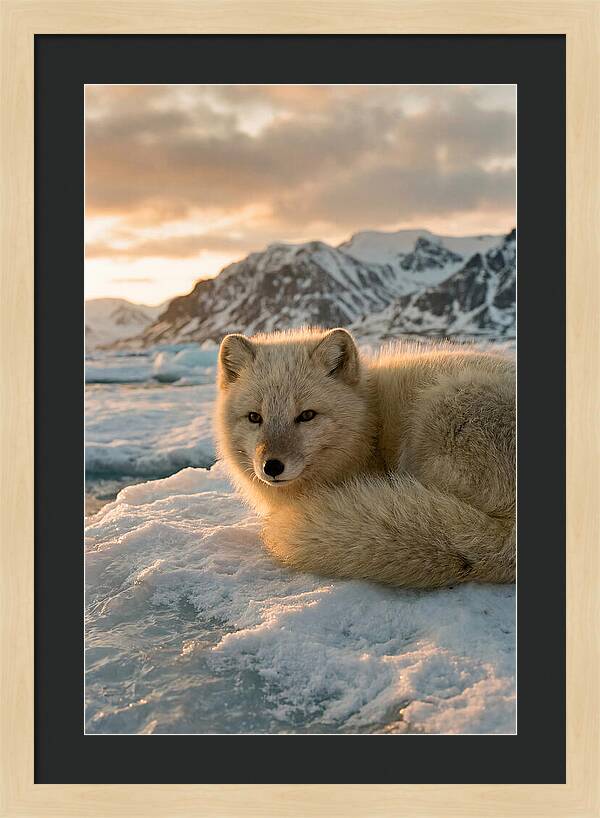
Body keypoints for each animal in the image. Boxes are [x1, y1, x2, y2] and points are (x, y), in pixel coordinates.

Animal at [215, 327, 515, 588]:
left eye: (307, 415)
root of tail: (509, 538)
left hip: (437, 411)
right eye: (255, 417)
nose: (272, 466)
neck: (370, 423)